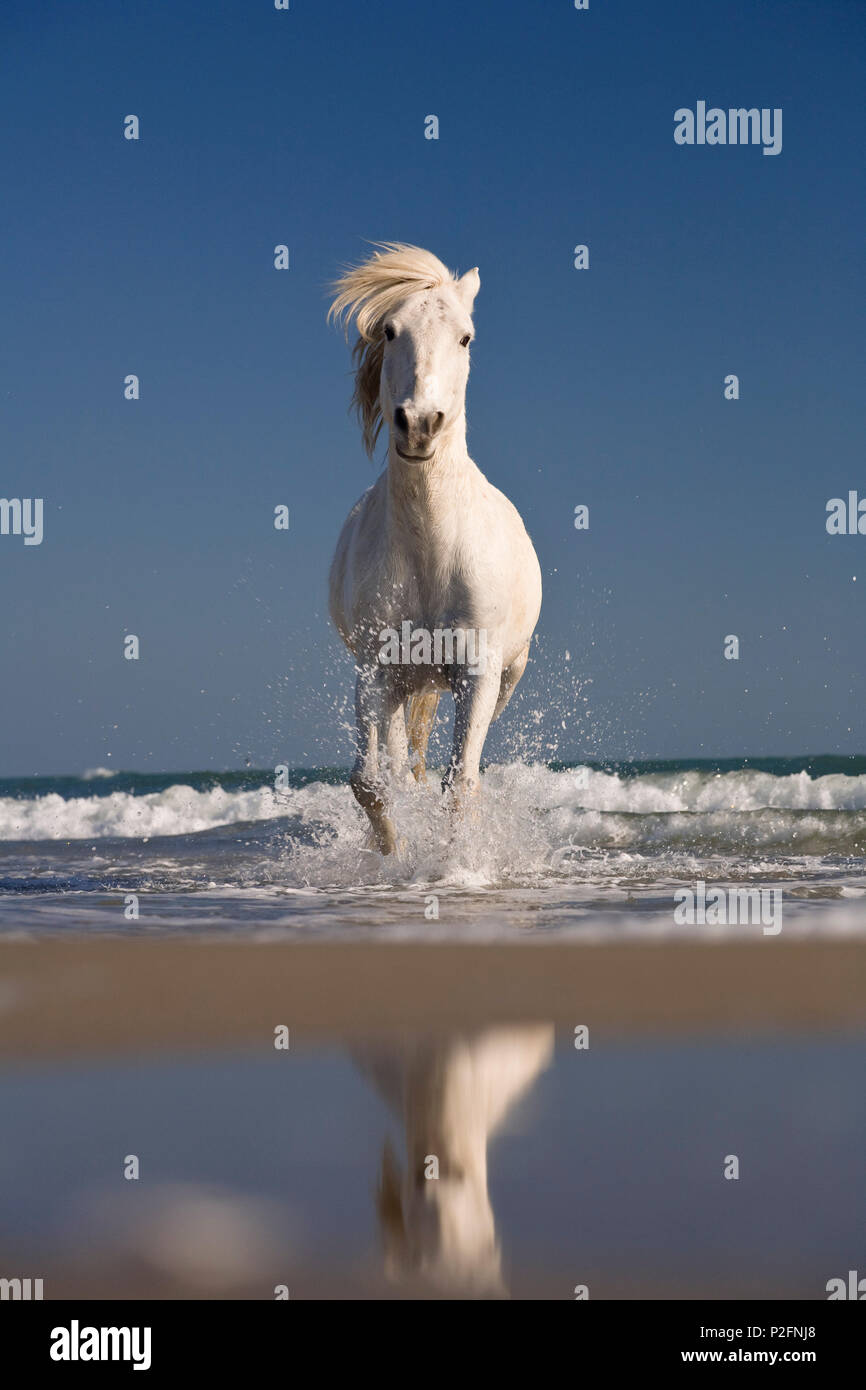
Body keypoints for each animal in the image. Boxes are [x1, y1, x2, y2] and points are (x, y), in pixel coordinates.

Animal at [330, 246, 542, 850]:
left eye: (466, 337)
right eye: (389, 330)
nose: (420, 424)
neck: (430, 549)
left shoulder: (477, 672)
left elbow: (460, 784)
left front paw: (453, 861)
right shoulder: (374, 673)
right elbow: (370, 782)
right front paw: (394, 857)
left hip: (505, 679)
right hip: (403, 685)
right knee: (402, 763)